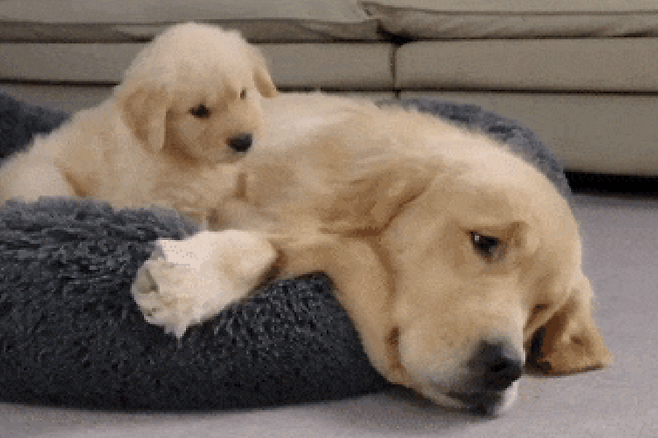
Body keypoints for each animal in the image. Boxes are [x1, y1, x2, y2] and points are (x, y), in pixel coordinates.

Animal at [0, 22, 277, 221]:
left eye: (243, 93)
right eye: (199, 111)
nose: (244, 141)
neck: (177, 153)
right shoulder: (150, 202)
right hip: (43, 176)